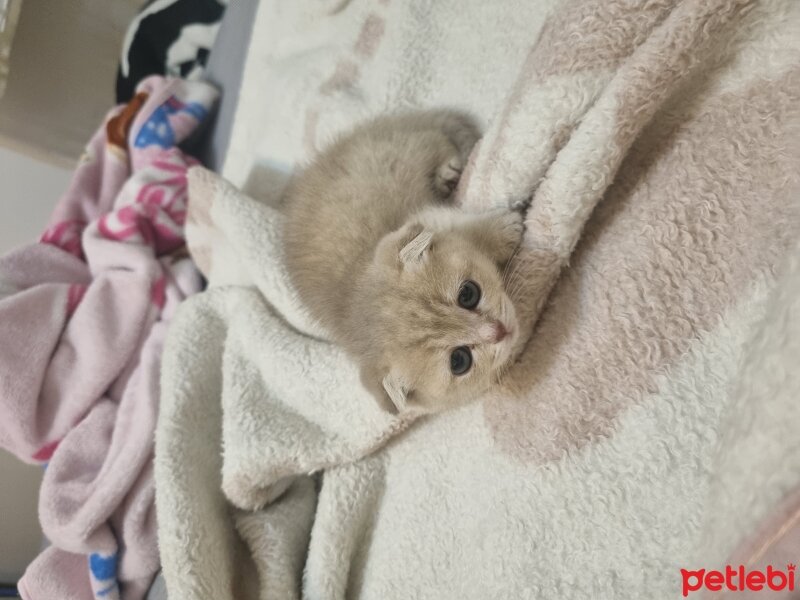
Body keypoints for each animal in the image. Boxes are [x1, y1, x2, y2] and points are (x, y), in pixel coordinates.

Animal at [282, 111, 524, 412]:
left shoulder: (419, 222)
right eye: (459, 361)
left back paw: (447, 170)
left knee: (435, 137)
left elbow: (466, 227)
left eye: (468, 294)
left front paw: (503, 231)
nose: (498, 331)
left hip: (399, 153)